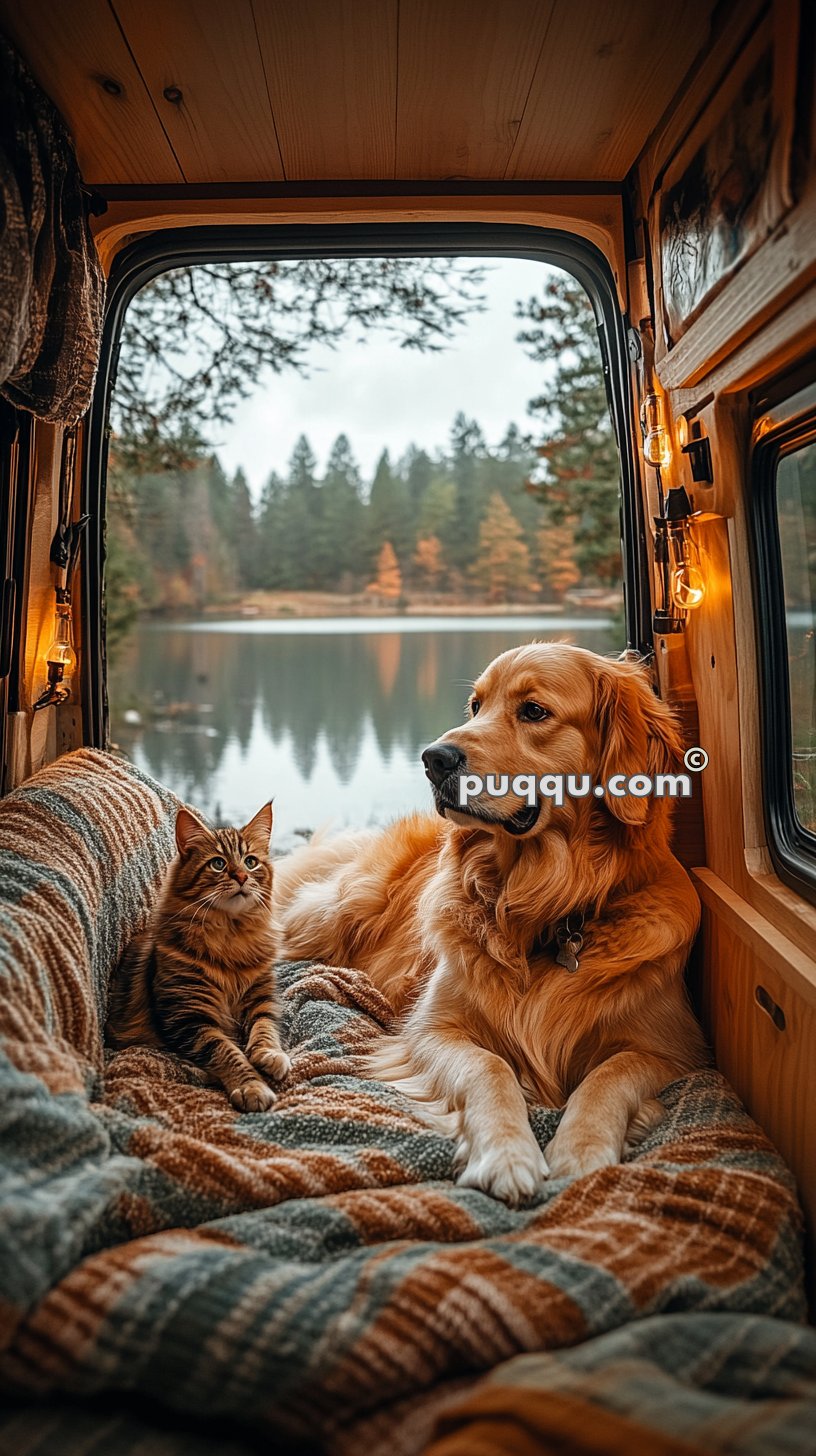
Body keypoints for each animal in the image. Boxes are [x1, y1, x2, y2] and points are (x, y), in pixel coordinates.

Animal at [107, 803, 288, 1106]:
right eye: (218, 864)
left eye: (251, 862)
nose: (241, 877)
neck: (231, 935)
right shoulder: (188, 1018)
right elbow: (228, 1052)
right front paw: (251, 1087)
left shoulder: (262, 998)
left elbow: (265, 1029)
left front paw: (271, 1055)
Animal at [273, 646, 708, 1205]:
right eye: (475, 706)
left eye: (534, 711)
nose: (433, 759)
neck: (545, 909)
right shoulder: (431, 1031)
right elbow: (490, 1067)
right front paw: (506, 1155)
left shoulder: (675, 1049)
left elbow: (610, 1075)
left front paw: (581, 1151)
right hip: (331, 911)